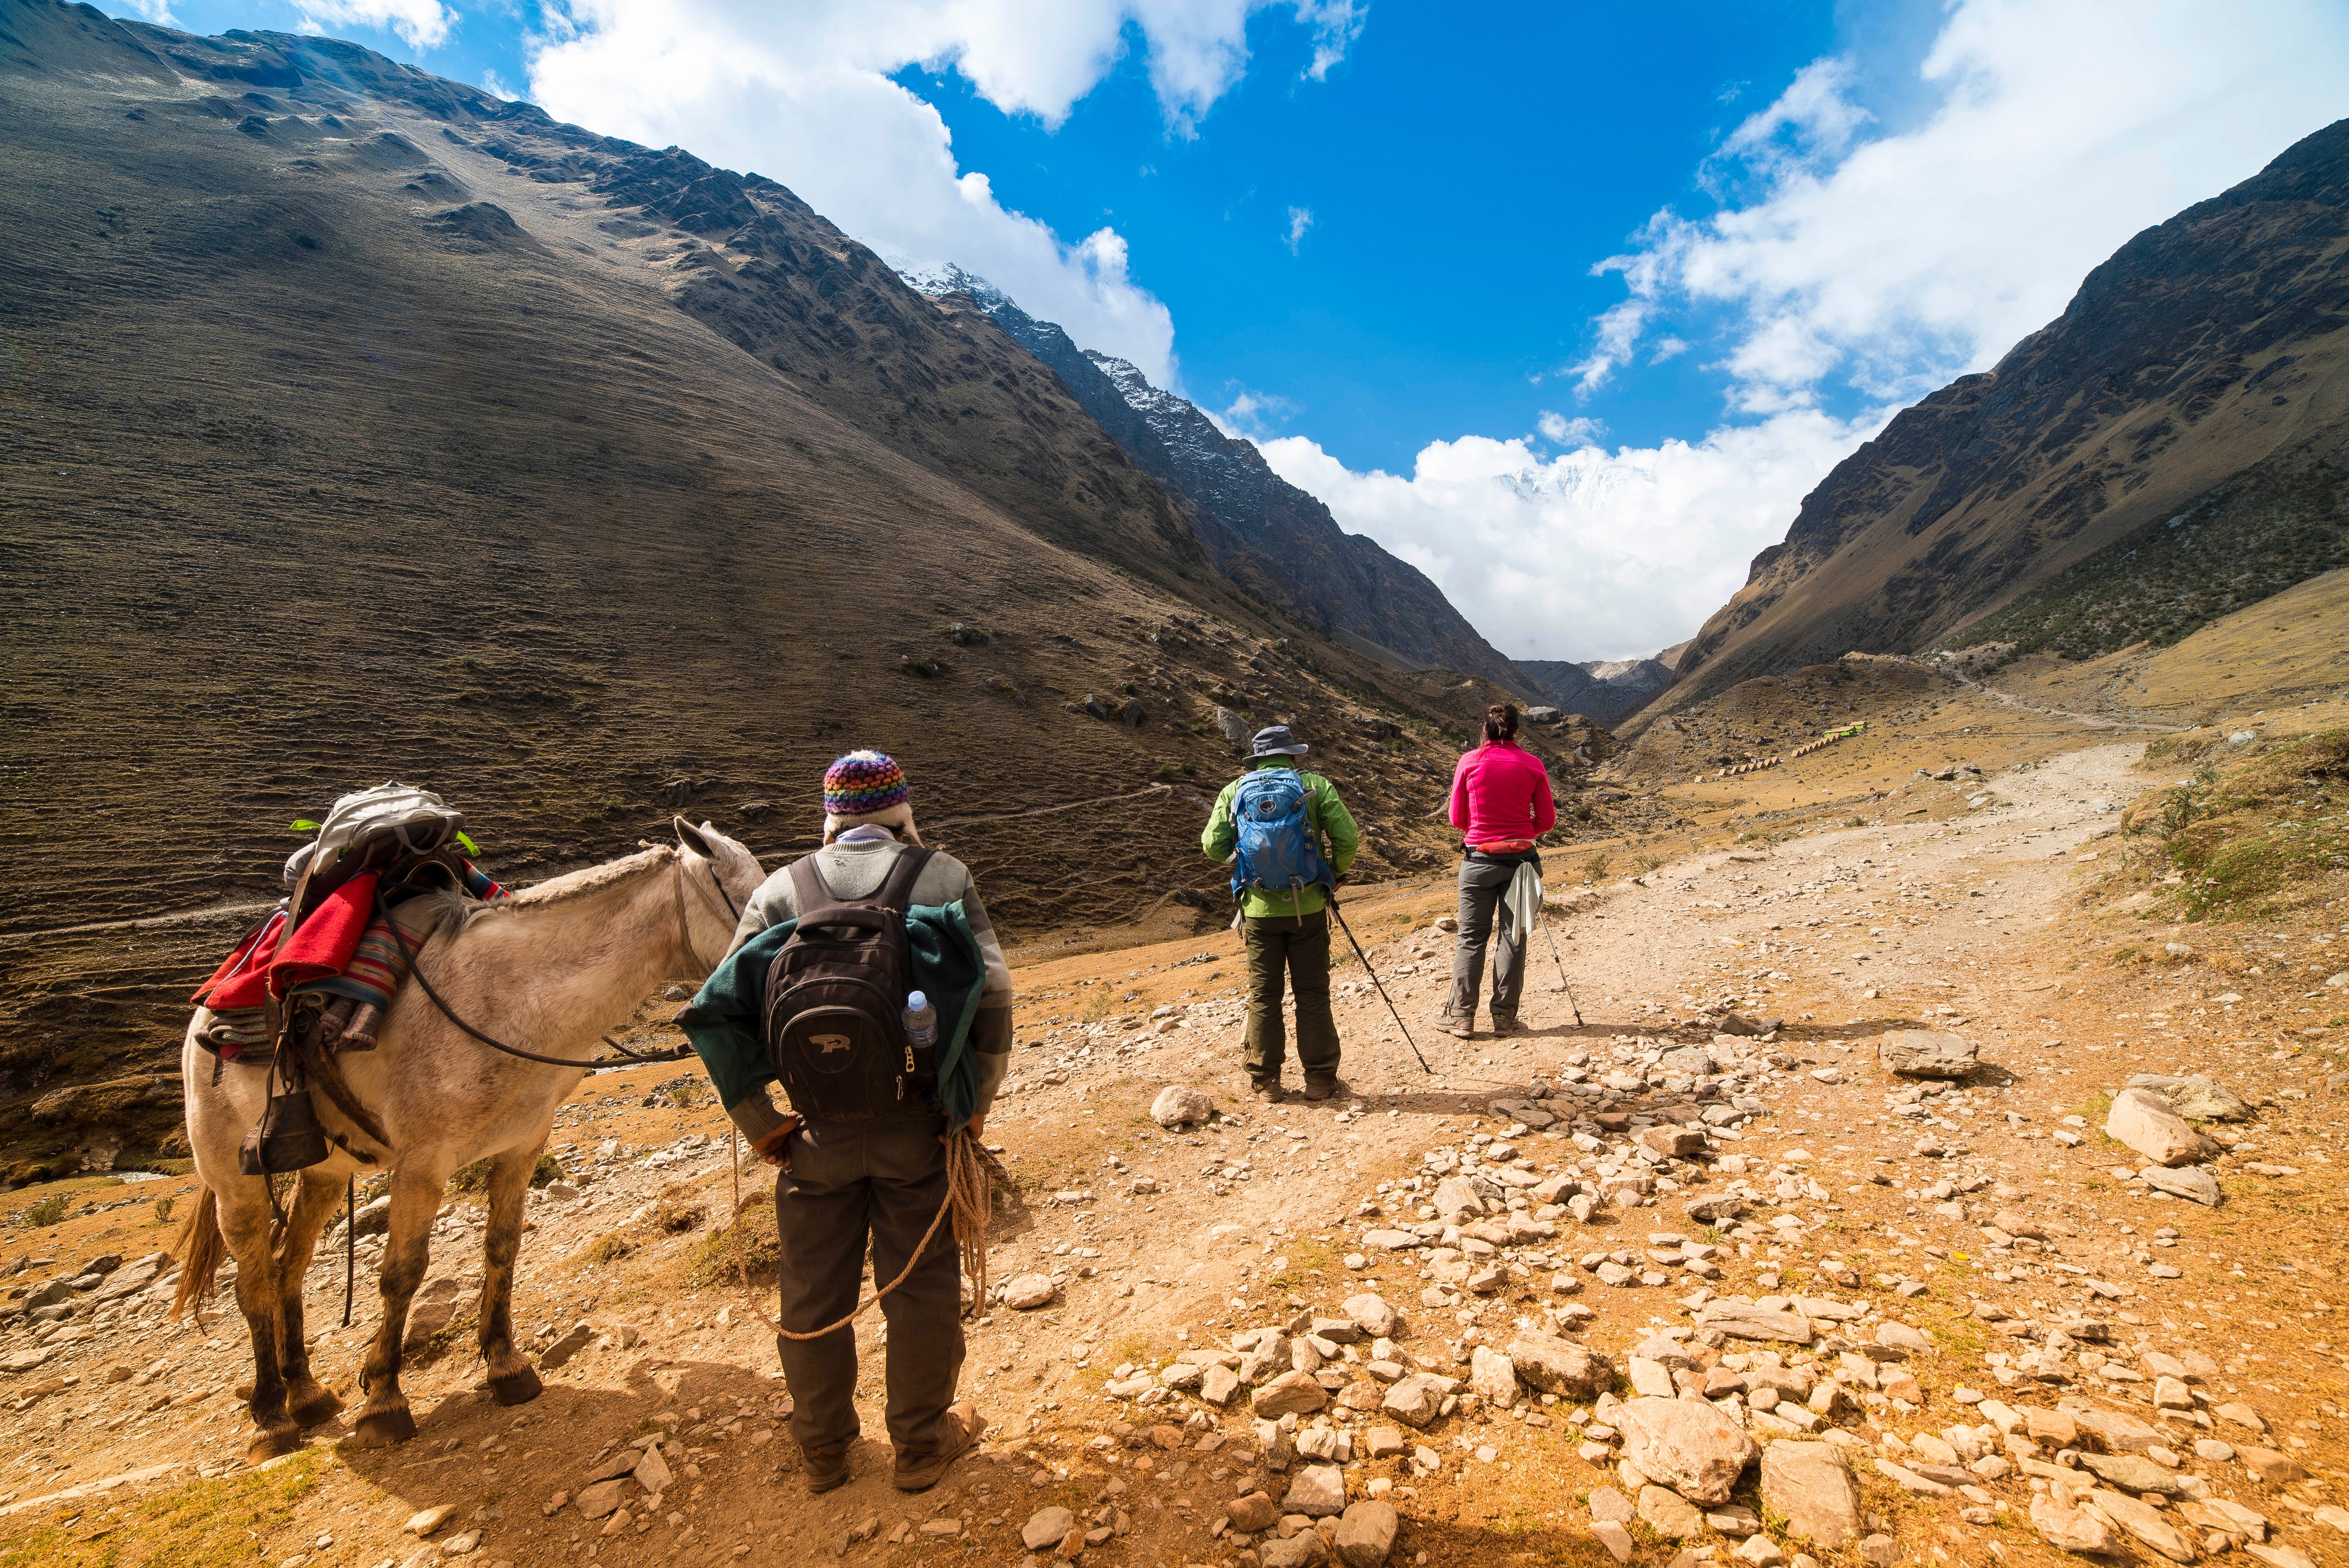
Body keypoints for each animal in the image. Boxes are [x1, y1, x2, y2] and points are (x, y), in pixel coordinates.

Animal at [174, 821, 761, 1455]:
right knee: (253, 1283)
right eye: (747, 900)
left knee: (290, 1265)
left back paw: (305, 1395)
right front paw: (384, 1398)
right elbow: (402, 1273)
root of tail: (203, 1013)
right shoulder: (422, 1164)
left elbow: (503, 1246)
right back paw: (272, 1416)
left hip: (325, 1171)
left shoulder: (523, 1145)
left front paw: (506, 1365)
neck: (513, 1001)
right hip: (232, 1180)